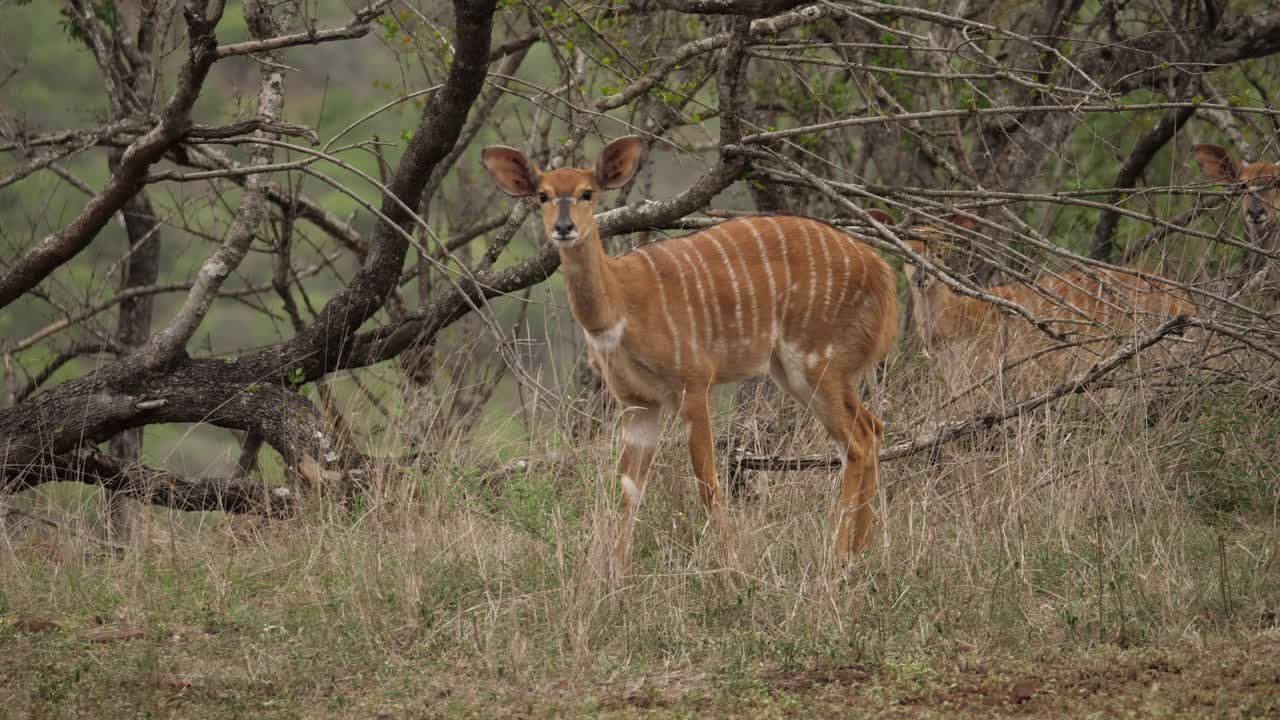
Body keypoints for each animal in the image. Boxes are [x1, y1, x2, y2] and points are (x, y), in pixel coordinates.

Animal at [481, 137, 898, 572]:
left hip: (816, 361)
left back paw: (836, 559)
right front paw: (615, 576)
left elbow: (707, 482)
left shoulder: (694, 385)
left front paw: (732, 570)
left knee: (856, 442)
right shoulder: (637, 403)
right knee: (872, 427)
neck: (622, 304)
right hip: (799, 372)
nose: (564, 228)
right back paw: (860, 552)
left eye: (587, 192)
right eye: (542, 195)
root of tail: (883, 273)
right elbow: (629, 489)